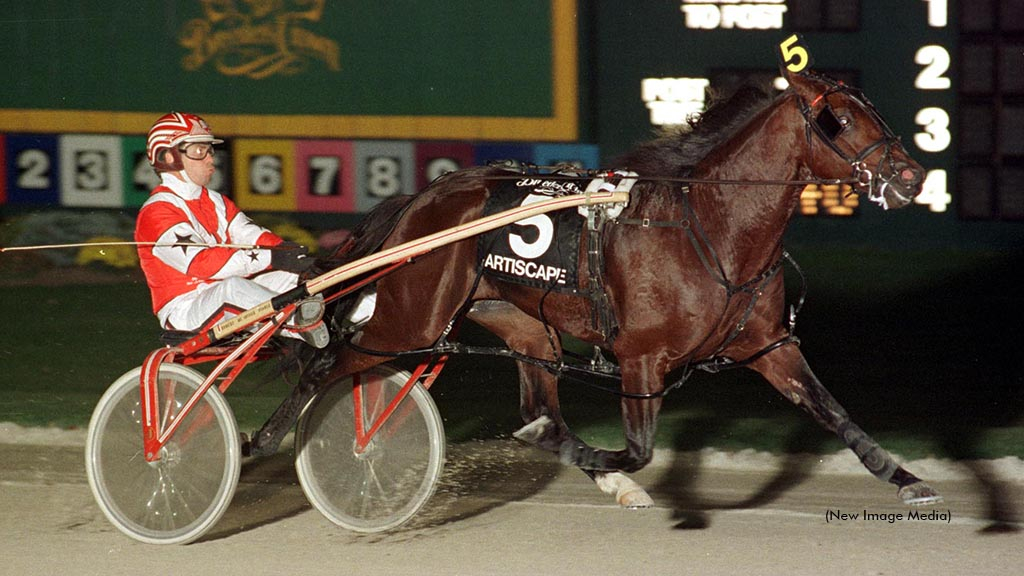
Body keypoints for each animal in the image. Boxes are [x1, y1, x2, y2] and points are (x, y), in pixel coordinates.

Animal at [251, 65, 937, 508]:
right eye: (838, 119)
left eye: (871, 109)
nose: (912, 175)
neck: (712, 226)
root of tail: (423, 198)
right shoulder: (641, 358)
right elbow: (638, 449)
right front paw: (616, 470)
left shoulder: (768, 345)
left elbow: (833, 410)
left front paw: (904, 478)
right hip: (409, 319)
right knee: (330, 363)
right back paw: (261, 441)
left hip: (522, 325)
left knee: (540, 412)